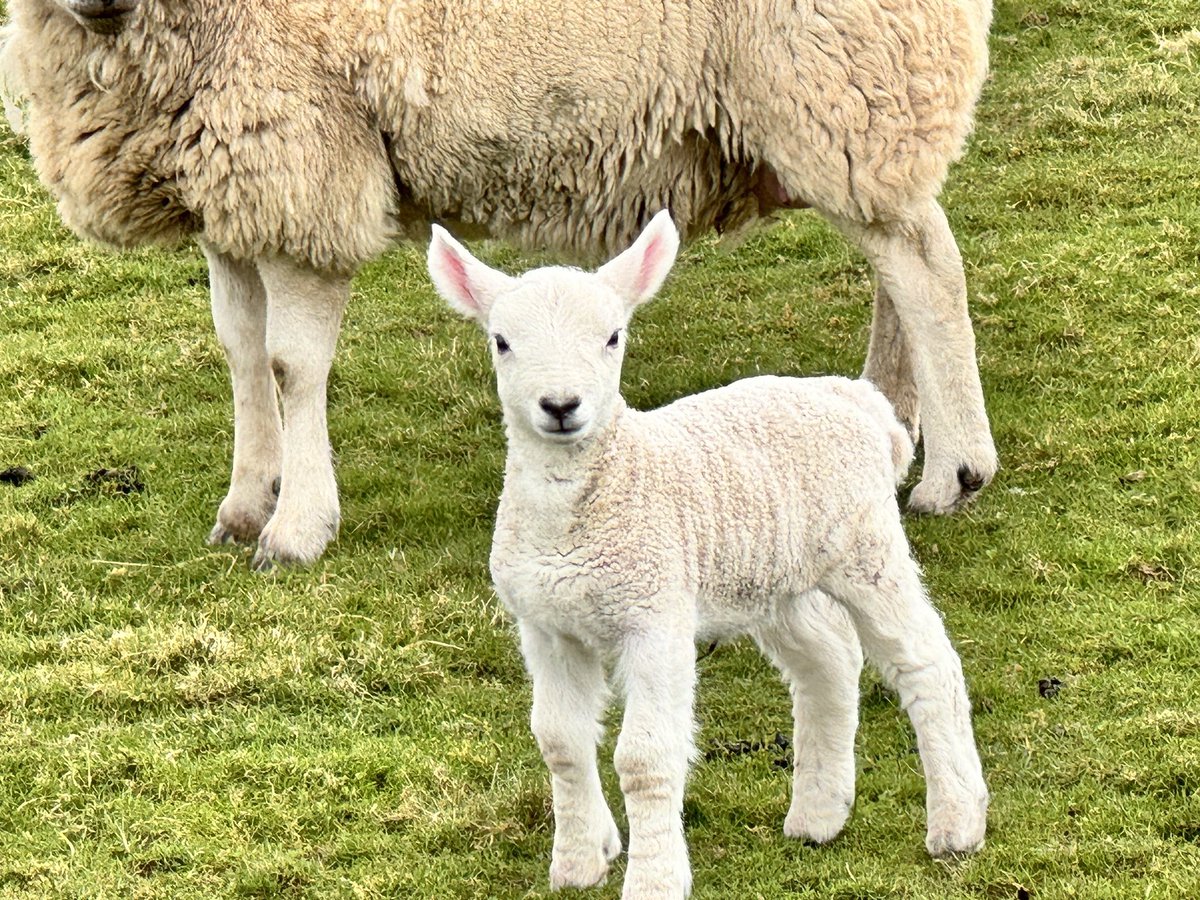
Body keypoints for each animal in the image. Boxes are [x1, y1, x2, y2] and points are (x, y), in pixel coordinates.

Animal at [0, 0, 998, 571]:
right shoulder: (228, 184)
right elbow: (241, 357)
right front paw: (247, 504)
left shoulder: (300, 159)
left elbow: (291, 366)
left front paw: (298, 528)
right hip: (859, 105)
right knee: (897, 261)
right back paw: (885, 421)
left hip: (840, 85)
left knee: (925, 268)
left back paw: (955, 471)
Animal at [427, 213, 988, 900]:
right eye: (502, 342)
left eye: (613, 336)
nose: (560, 407)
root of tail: (857, 400)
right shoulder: (547, 625)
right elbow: (560, 741)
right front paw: (579, 864)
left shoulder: (655, 616)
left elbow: (643, 759)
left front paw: (653, 880)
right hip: (774, 574)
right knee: (829, 660)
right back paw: (818, 815)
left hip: (866, 545)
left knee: (927, 662)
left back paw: (957, 823)